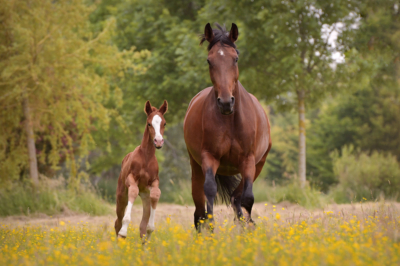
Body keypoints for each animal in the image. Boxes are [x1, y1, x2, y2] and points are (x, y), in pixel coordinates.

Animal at [114, 100, 167, 241]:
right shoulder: (131, 178)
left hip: (145, 198)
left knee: (142, 226)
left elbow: (156, 194)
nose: (158, 141)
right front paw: (124, 231)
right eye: (149, 123)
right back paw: (119, 238)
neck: (146, 157)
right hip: (121, 195)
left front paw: (150, 229)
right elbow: (133, 191)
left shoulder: (154, 181)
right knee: (117, 222)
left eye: (164, 123)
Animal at [184, 22, 272, 230]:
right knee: (199, 209)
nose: (226, 103)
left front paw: (247, 231)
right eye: (209, 61)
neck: (230, 121)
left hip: (259, 164)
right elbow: (209, 192)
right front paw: (211, 229)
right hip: (195, 166)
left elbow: (247, 198)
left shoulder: (248, 160)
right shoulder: (209, 157)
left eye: (236, 58)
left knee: (236, 198)